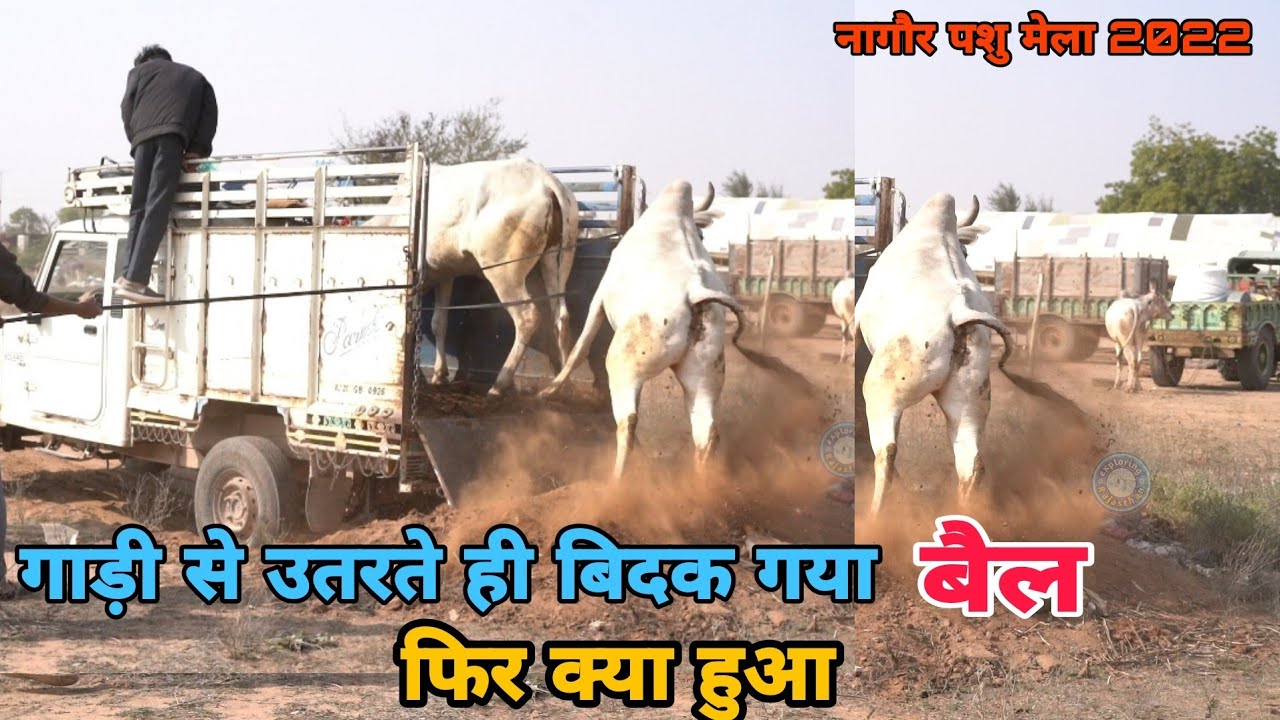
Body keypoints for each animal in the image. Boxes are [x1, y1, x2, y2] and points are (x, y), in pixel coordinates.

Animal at [368, 157, 580, 396]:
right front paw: (439, 375)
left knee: (528, 317)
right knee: (561, 316)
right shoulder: (445, 276)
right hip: (555, 261)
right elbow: (438, 322)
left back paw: (499, 384)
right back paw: (561, 385)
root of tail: (545, 181)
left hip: (504, 272)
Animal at [539, 179, 815, 480]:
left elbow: (579, 348)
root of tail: (695, 294)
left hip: (626, 365)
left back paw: (616, 480)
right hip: (704, 374)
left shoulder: (599, 299)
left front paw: (548, 391)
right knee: (707, 433)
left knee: (629, 422)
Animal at [852, 192, 1088, 518]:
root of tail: (960, 315)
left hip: (883, 392)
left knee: (887, 453)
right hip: (969, 402)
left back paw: (875, 516)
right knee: (971, 465)